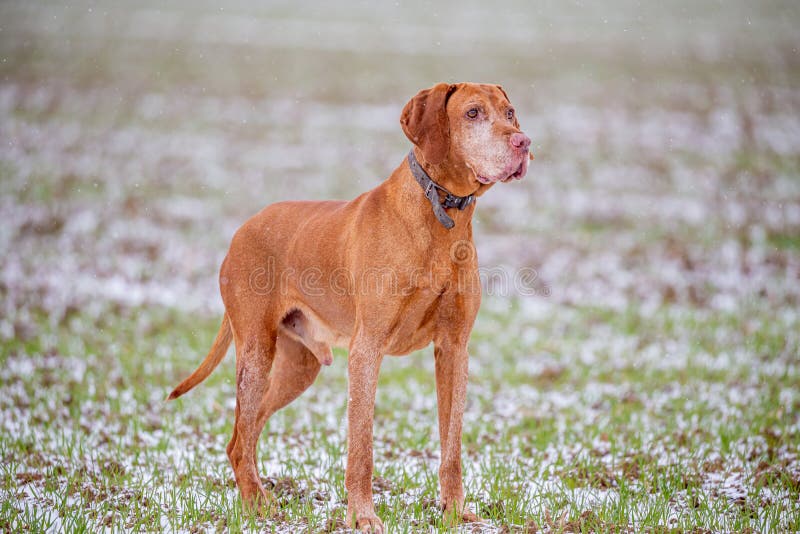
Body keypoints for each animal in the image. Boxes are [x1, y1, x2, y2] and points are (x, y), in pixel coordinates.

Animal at [169, 81, 532, 532]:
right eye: (473, 113)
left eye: (510, 113)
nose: (523, 142)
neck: (440, 215)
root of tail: (242, 228)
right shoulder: (366, 350)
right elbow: (362, 447)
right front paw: (362, 516)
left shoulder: (454, 349)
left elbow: (452, 445)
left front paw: (454, 512)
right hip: (255, 351)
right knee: (242, 434)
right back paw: (259, 507)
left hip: (298, 367)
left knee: (243, 434)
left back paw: (258, 499)